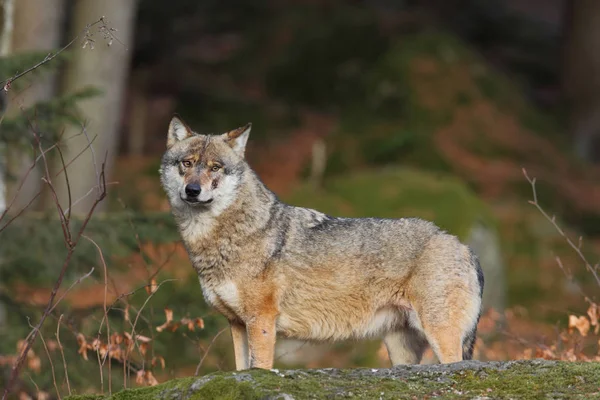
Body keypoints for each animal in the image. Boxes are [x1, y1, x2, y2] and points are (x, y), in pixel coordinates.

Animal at [158, 116, 482, 372]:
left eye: (215, 168)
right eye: (186, 164)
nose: (192, 190)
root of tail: (463, 246)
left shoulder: (261, 320)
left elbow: (260, 367)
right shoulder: (237, 324)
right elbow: (241, 369)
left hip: (440, 336)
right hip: (400, 349)